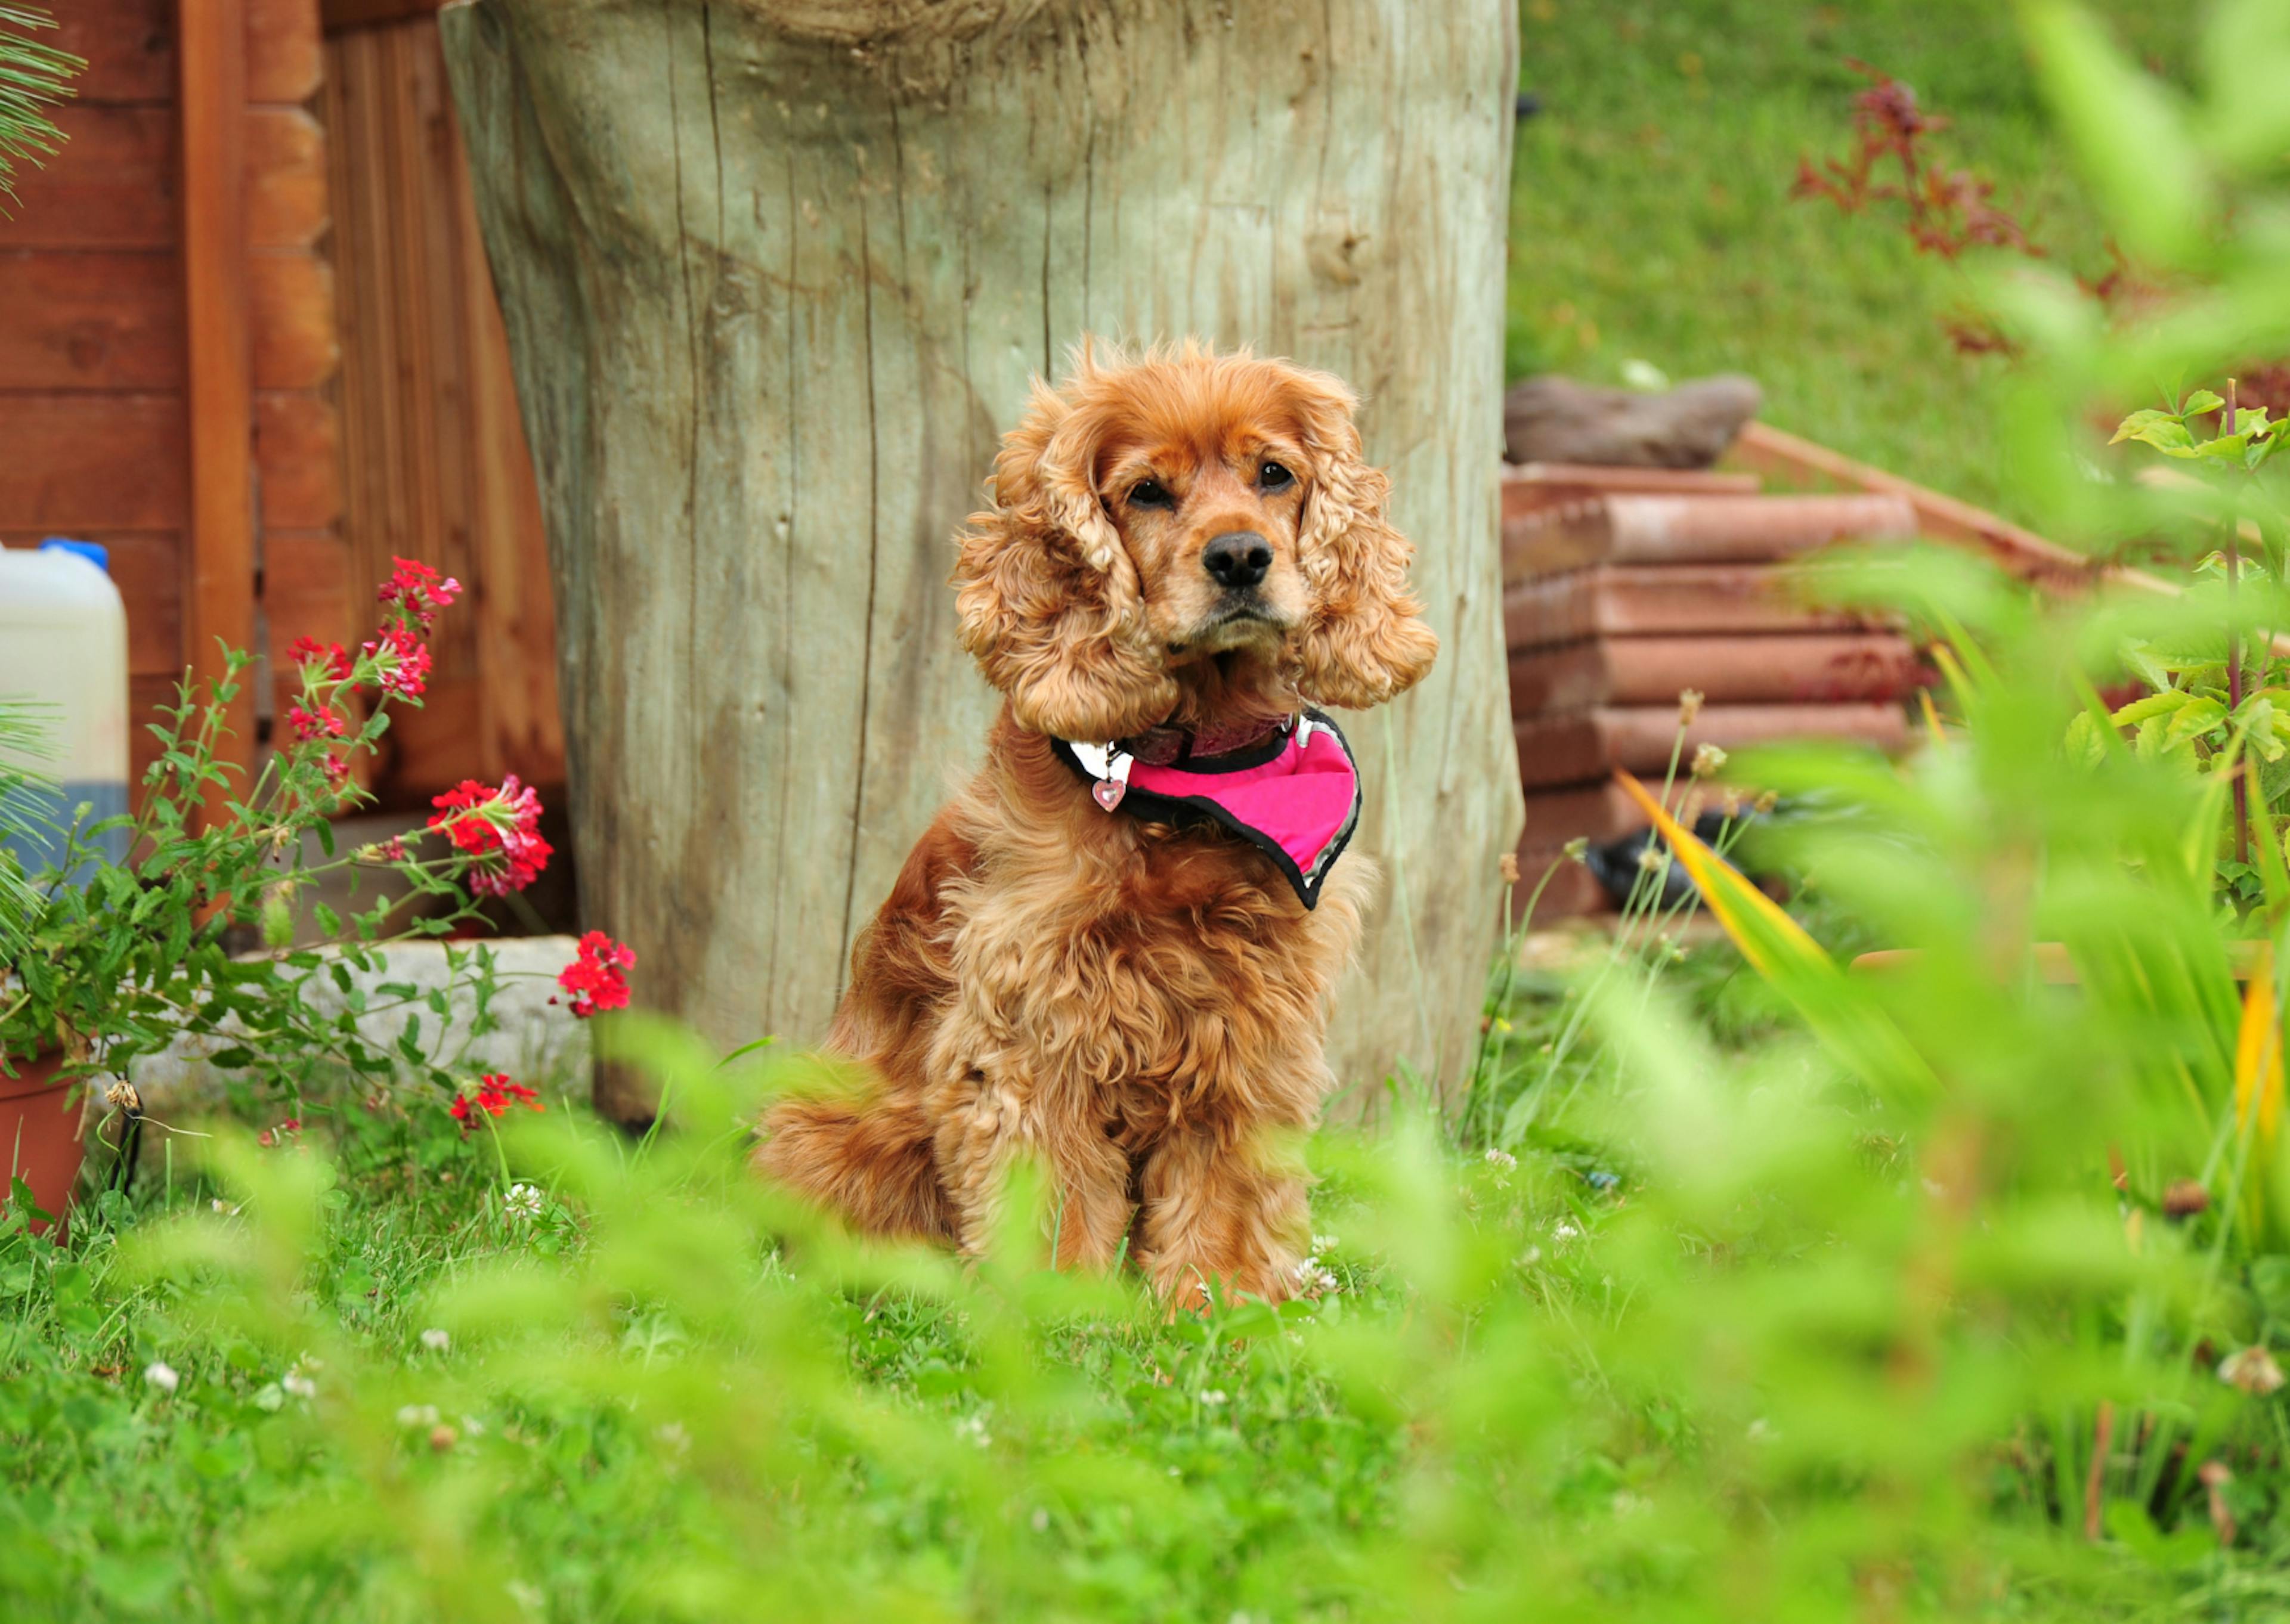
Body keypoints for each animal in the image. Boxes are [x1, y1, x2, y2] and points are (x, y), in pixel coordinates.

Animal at [760, 341, 1438, 1301]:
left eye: (1275, 474)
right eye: (1147, 492)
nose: (1240, 557)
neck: (1193, 770)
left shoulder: (1252, 1019)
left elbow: (1226, 1179)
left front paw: (1218, 1298)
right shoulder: (1033, 1020)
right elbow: (1049, 1183)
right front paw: (1059, 1308)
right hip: (833, 1130)